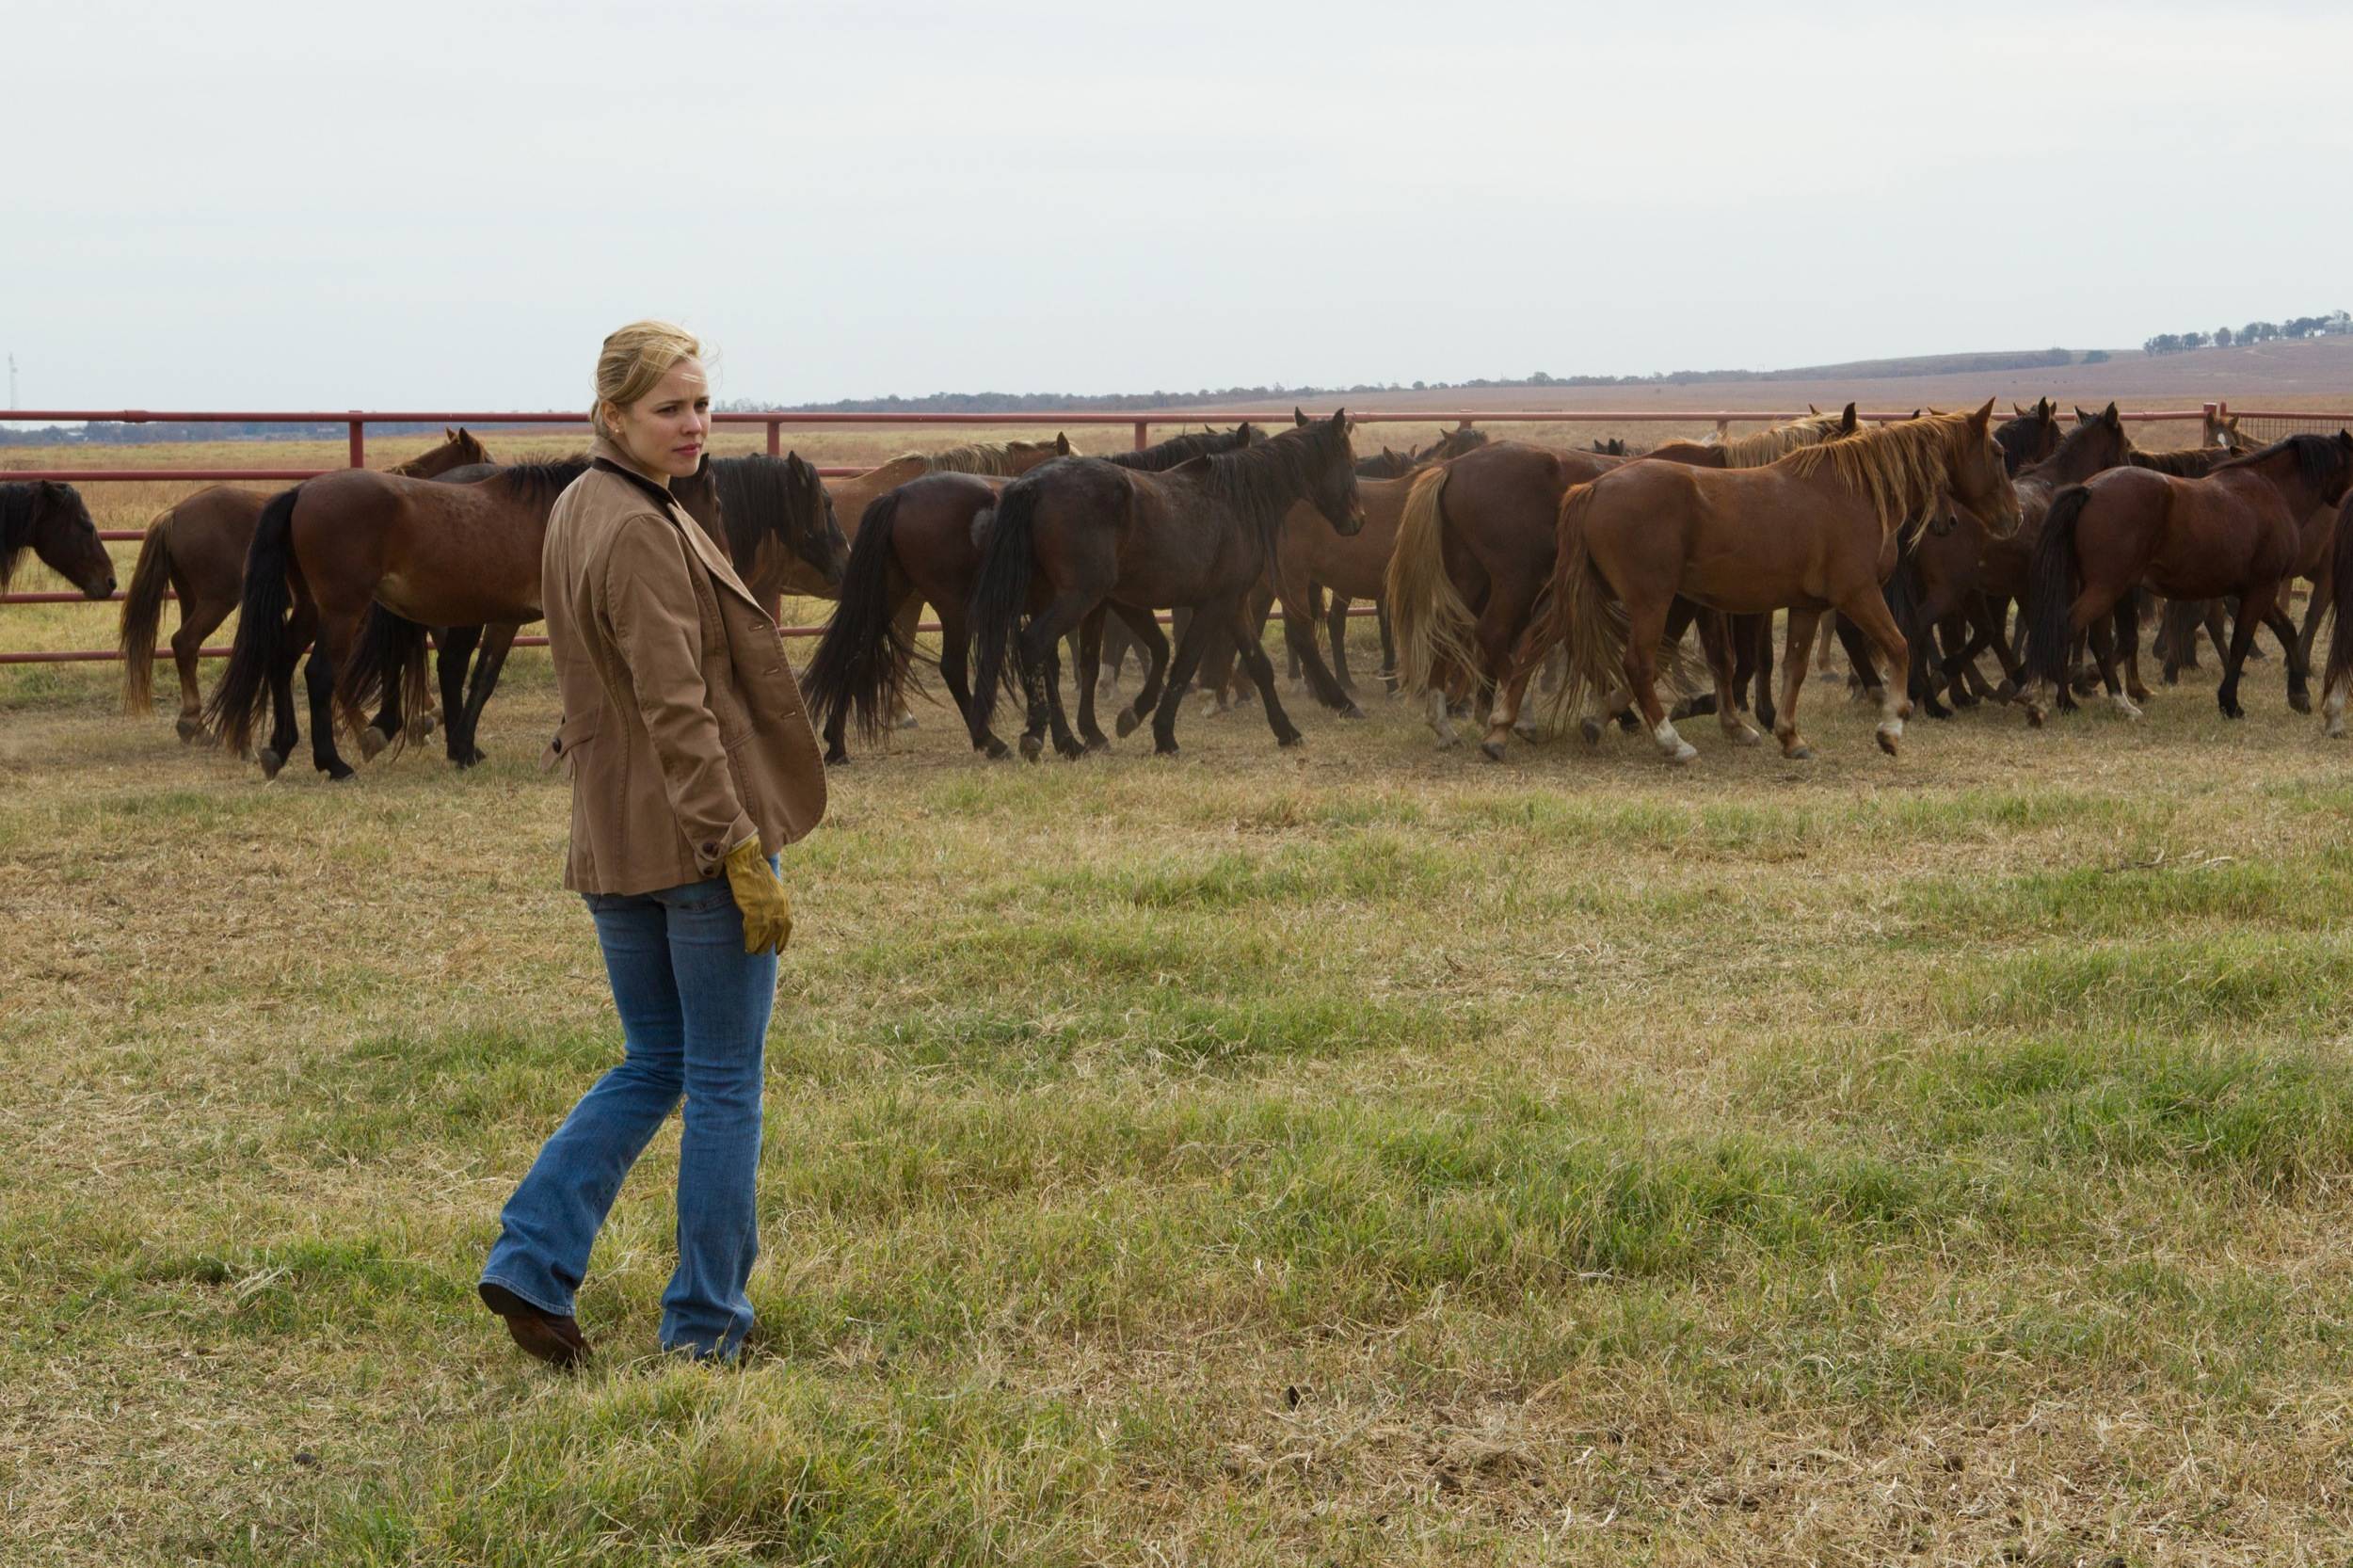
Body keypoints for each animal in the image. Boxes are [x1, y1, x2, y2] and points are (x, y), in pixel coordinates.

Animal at [119, 424, 491, 734]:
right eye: (484, 459)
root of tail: (175, 512)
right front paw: (424, 713)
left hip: (191, 598)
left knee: (187, 649)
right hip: (217, 601)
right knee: (185, 642)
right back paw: (194, 724)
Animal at [960, 409, 1365, 758]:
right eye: (1349, 461)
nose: (1358, 521)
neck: (1235, 499)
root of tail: (1032, 484)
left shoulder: (1230, 602)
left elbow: (1255, 664)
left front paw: (1286, 731)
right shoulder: (1210, 604)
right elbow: (1183, 662)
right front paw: (1162, 734)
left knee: (1044, 657)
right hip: (1077, 598)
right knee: (1034, 644)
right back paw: (1048, 738)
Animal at [1534, 402, 2014, 762]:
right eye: (1997, 451)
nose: (2013, 516)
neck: (1850, 492)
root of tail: (1593, 488)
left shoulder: (1806, 605)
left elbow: (1791, 667)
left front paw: (1789, 736)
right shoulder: (1858, 594)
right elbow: (1899, 646)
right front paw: (1891, 727)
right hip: (1652, 601)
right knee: (1637, 664)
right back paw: (1672, 743)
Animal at [2014, 428, 2353, 720]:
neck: (2271, 491)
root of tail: (2089, 490)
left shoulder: (2258, 591)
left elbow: (2287, 631)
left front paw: (2298, 694)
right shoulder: (2261, 589)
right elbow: (2242, 642)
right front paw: (2230, 702)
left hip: (2108, 589)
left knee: (2098, 640)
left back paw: (2103, 698)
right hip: (2106, 589)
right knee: (2067, 628)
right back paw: (2054, 697)